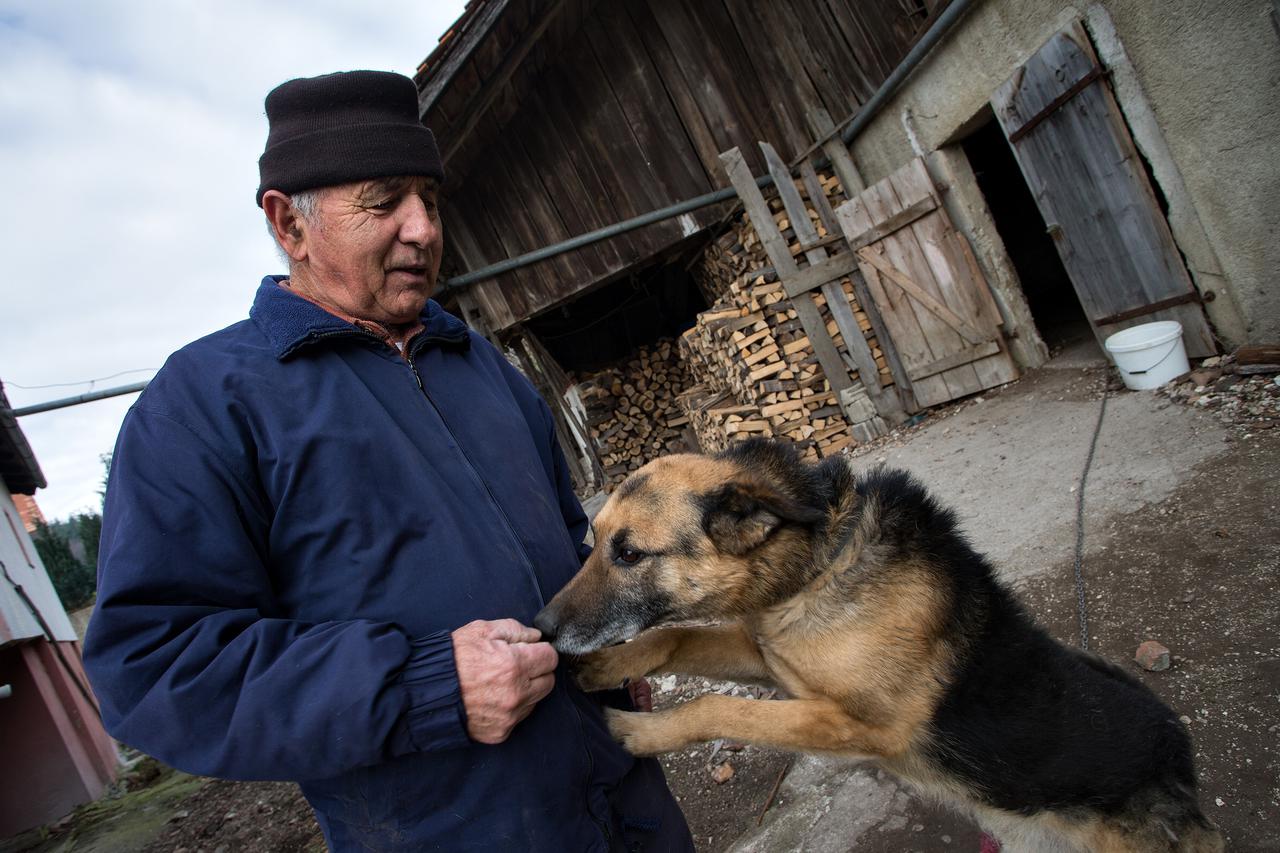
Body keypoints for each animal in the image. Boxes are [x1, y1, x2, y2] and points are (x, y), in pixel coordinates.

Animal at [535, 438, 1223, 850]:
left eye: (629, 554)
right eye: (593, 541)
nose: (540, 629)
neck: (816, 565)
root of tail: (1180, 759)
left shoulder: (858, 725)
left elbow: (715, 707)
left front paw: (637, 732)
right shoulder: (770, 660)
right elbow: (676, 636)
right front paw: (606, 666)